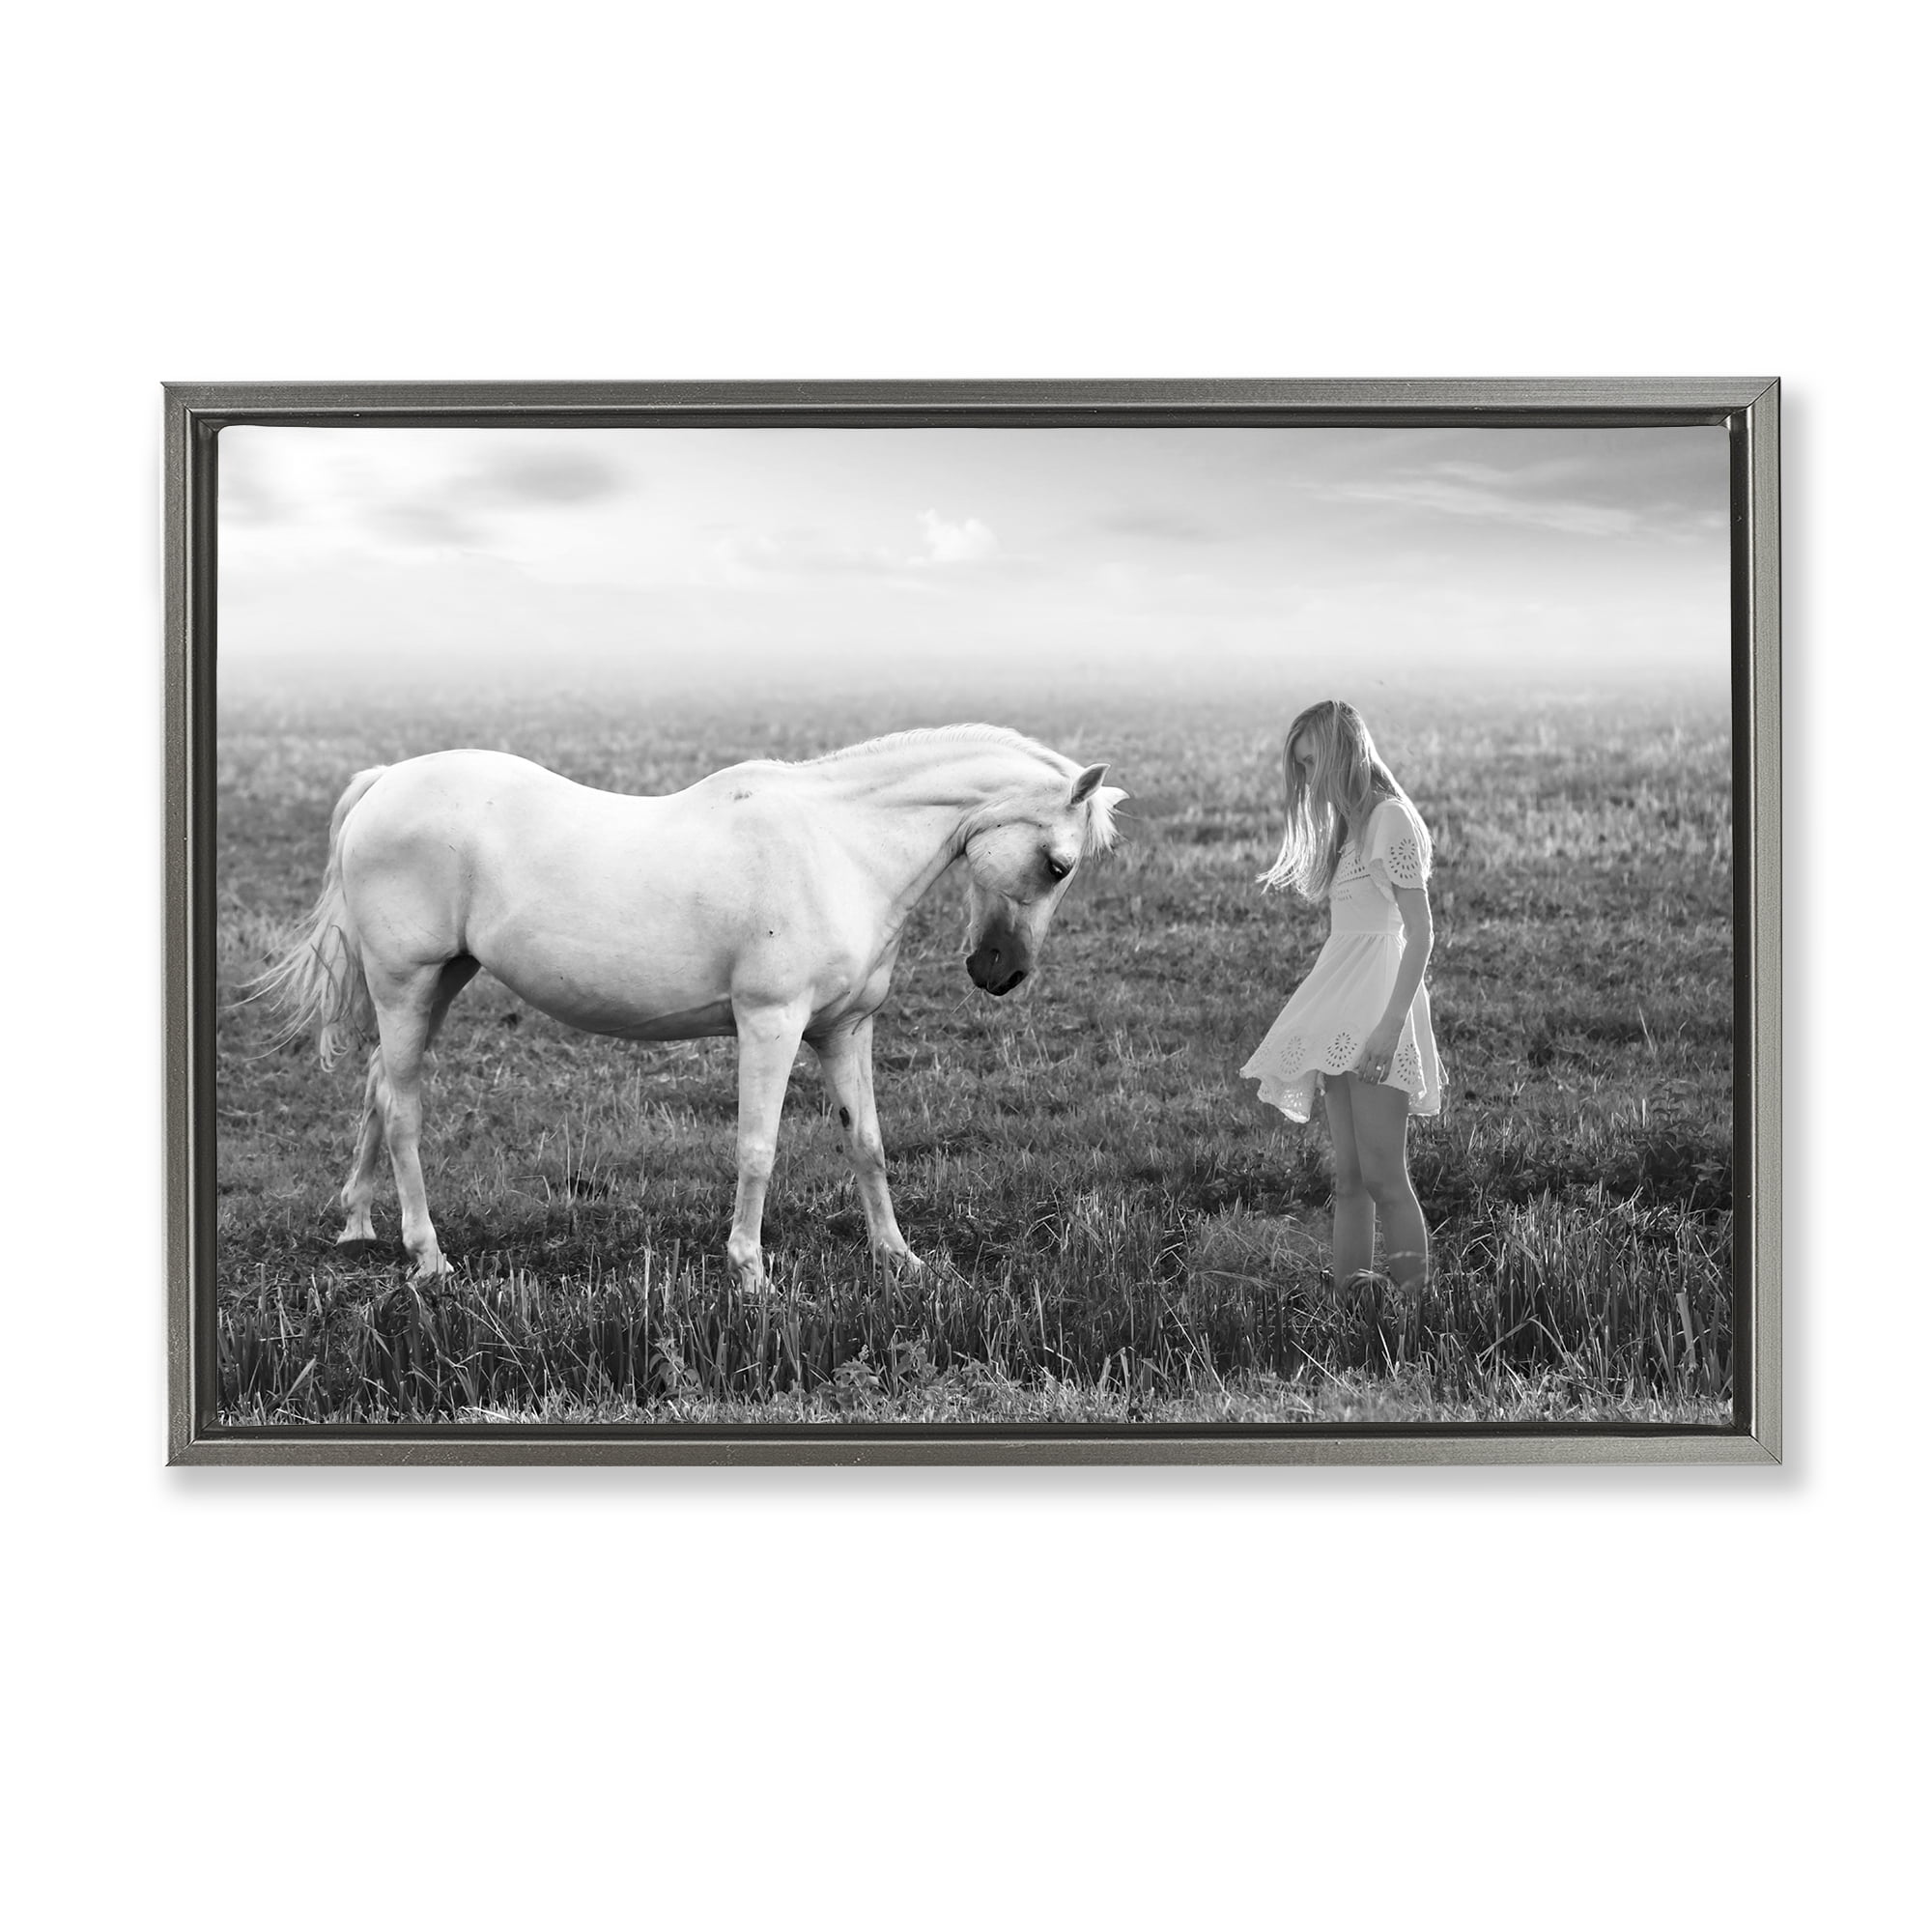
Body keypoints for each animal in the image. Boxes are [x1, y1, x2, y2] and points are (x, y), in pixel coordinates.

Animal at [256, 725, 1126, 1289]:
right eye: (1057, 864)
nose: (1001, 973)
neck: (839, 847)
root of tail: (385, 781)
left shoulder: (844, 1030)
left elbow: (868, 1144)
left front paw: (900, 1260)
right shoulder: (770, 1023)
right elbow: (757, 1149)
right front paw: (751, 1273)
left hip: (441, 981)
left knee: (379, 1084)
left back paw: (358, 1225)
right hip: (405, 983)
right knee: (403, 1108)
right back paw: (428, 1257)